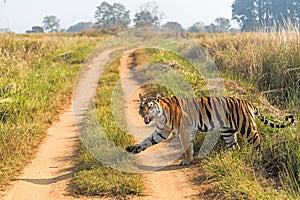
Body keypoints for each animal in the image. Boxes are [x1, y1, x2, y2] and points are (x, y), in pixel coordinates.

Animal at [125, 94, 296, 166]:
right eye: (141, 106)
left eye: (150, 106)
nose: (141, 113)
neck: (160, 115)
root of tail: (247, 102)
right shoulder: (162, 131)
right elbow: (147, 141)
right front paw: (133, 148)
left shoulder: (184, 130)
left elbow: (187, 147)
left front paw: (187, 161)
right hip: (227, 131)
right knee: (235, 146)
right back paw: (226, 158)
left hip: (247, 127)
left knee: (257, 142)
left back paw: (257, 157)